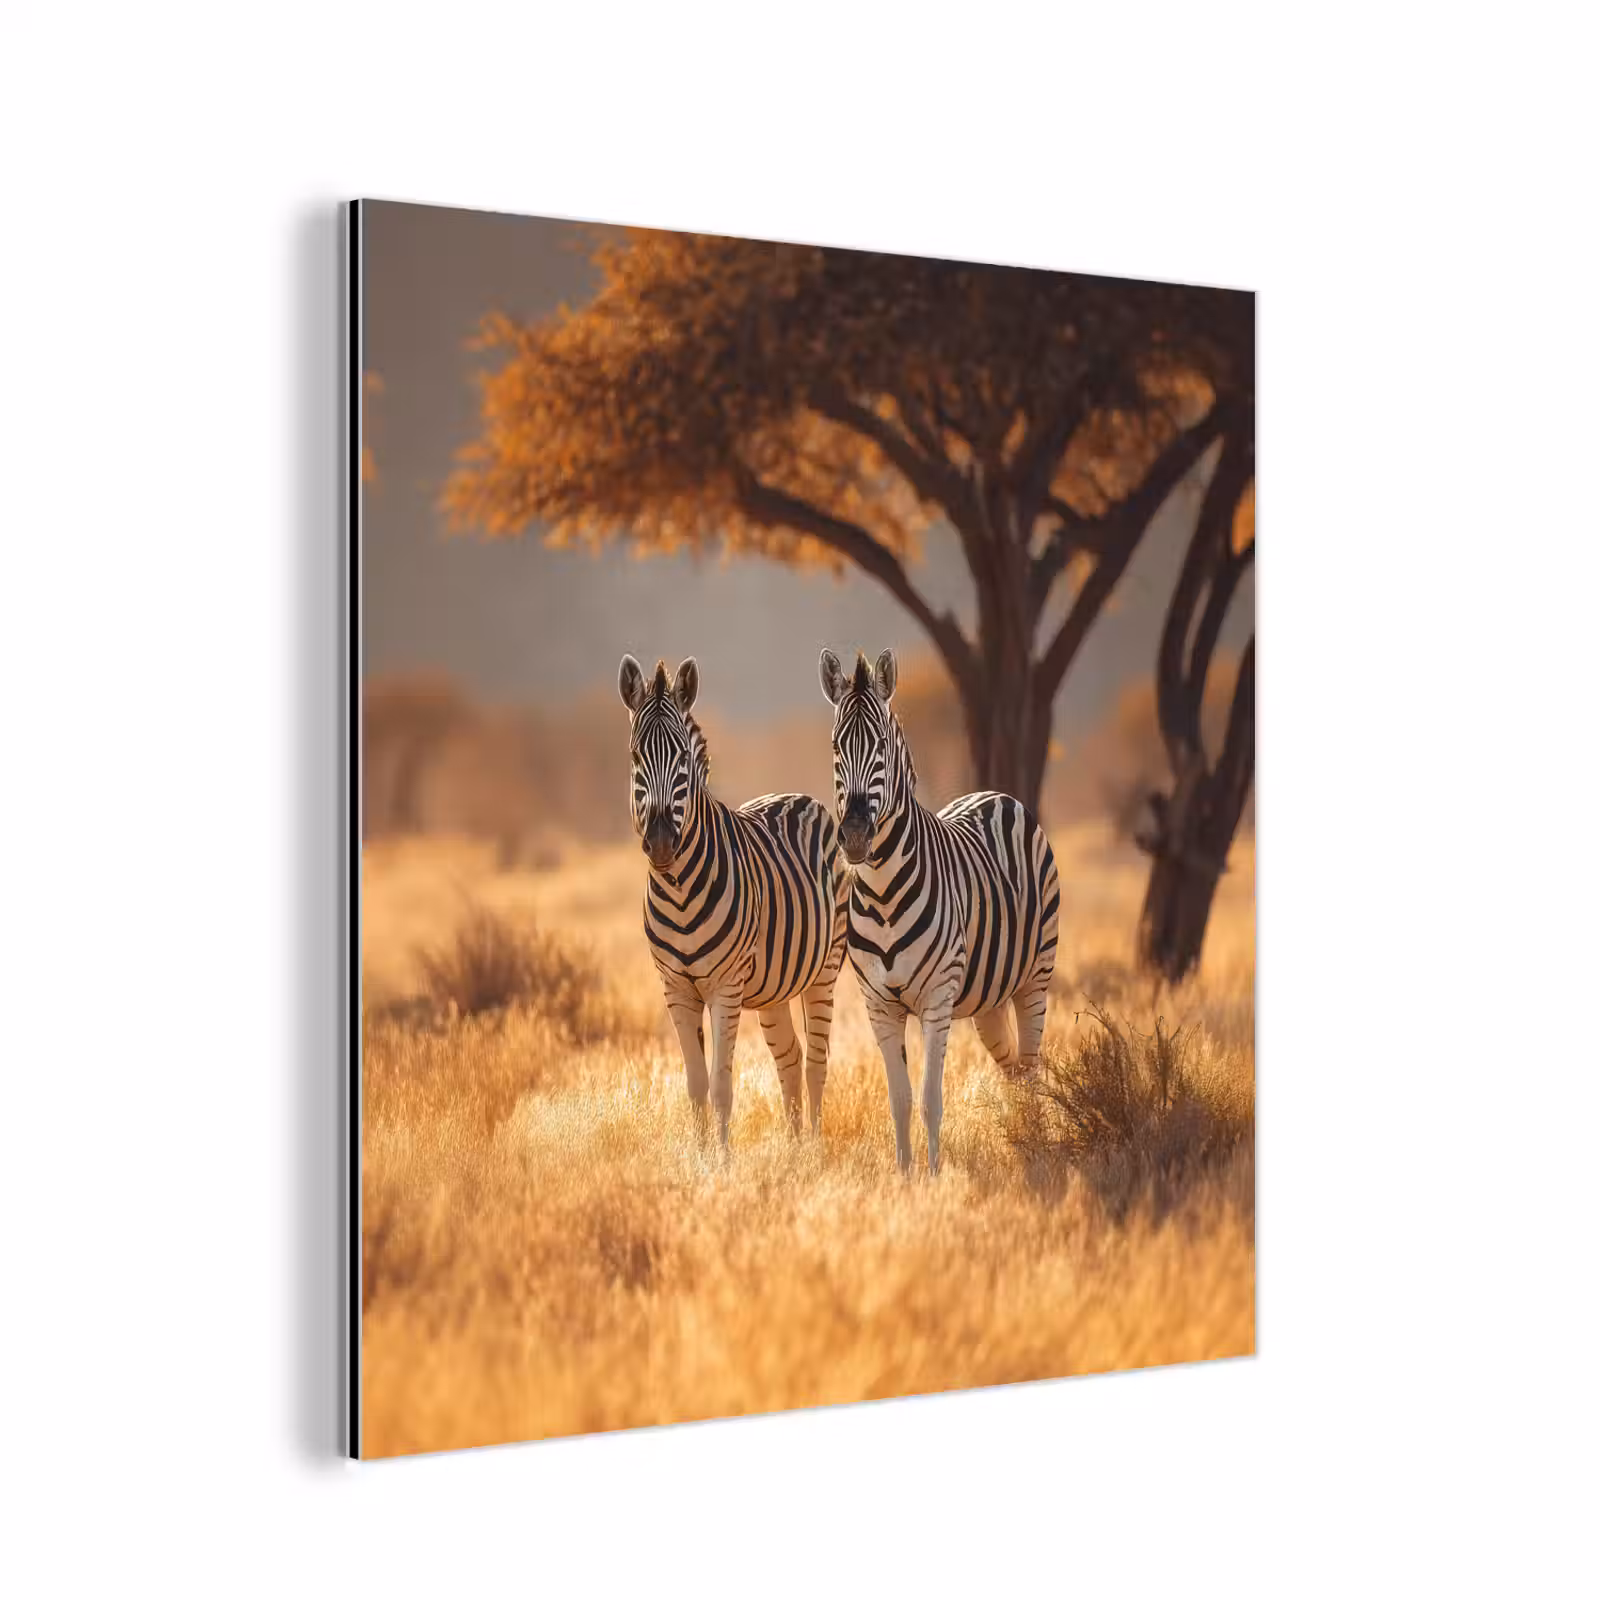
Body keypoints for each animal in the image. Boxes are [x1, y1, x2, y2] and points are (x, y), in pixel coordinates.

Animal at [619, 654, 849, 1149]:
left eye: (683, 759)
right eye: (635, 757)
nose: (661, 842)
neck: (679, 891)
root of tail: (797, 796)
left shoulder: (724, 986)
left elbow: (722, 1085)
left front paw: (722, 1161)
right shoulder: (675, 989)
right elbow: (695, 1085)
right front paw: (700, 1156)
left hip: (824, 969)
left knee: (816, 1063)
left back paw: (814, 1150)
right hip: (773, 987)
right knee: (790, 1058)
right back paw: (793, 1150)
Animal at [820, 647, 1061, 1174]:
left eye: (881, 746)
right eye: (835, 745)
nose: (854, 835)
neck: (883, 893)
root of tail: (996, 794)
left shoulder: (936, 998)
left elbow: (931, 1098)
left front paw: (933, 1176)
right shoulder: (879, 1004)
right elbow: (900, 1099)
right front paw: (905, 1175)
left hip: (1035, 976)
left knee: (1032, 1068)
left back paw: (1037, 1146)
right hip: (988, 998)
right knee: (1013, 1069)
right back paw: (1020, 1141)